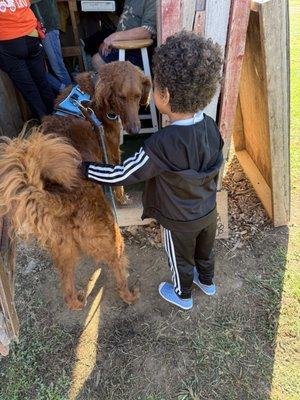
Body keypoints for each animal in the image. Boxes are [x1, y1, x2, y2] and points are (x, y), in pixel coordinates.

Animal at [0, 61, 150, 310]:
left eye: (138, 96)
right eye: (121, 97)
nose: (136, 130)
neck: (90, 95)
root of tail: (58, 198)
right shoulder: (111, 151)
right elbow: (119, 182)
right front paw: (122, 199)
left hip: (63, 249)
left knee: (68, 294)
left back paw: (79, 300)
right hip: (111, 236)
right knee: (117, 268)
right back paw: (130, 294)